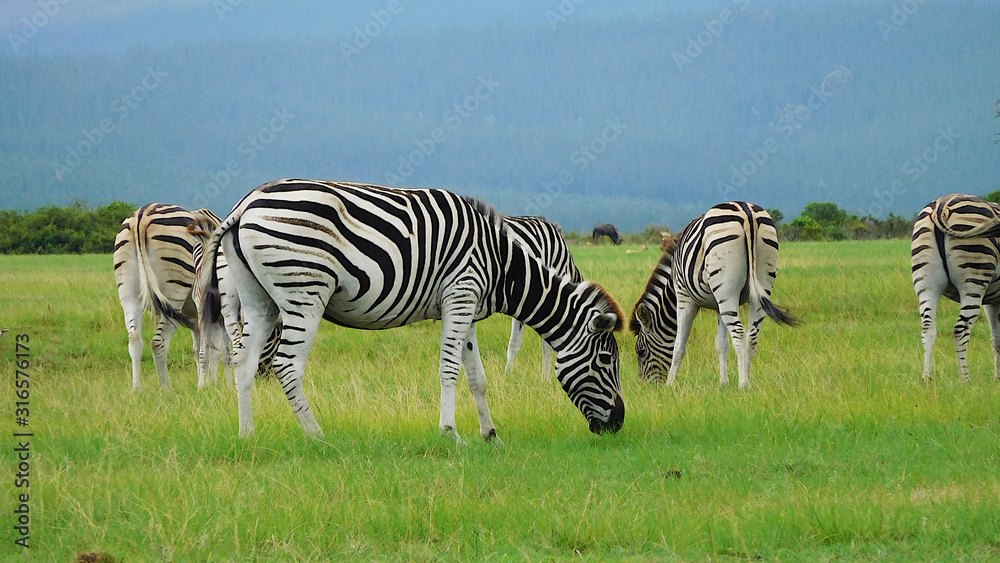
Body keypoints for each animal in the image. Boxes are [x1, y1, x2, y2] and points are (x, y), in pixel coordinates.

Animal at [113, 203, 227, 390]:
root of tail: (141, 216)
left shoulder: (197, 316)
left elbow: (199, 348)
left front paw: (203, 382)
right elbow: (214, 347)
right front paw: (212, 384)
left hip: (128, 292)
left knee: (134, 338)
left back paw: (137, 389)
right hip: (174, 292)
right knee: (158, 342)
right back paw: (166, 388)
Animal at [630, 202, 798, 388]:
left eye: (641, 351)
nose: (646, 385)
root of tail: (746, 212)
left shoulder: (684, 297)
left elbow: (678, 345)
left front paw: (670, 384)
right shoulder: (719, 305)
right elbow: (721, 344)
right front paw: (723, 383)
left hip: (726, 287)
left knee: (739, 333)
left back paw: (743, 384)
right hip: (759, 288)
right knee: (752, 336)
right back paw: (748, 381)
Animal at [911, 193, 1000, 382]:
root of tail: (941, 206)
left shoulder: (993, 301)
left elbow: (996, 339)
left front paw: (997, 377)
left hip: (926, 284)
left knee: (928, 328)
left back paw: (927, 378)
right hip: (973, 280)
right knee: (960, 330)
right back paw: (965, 379)